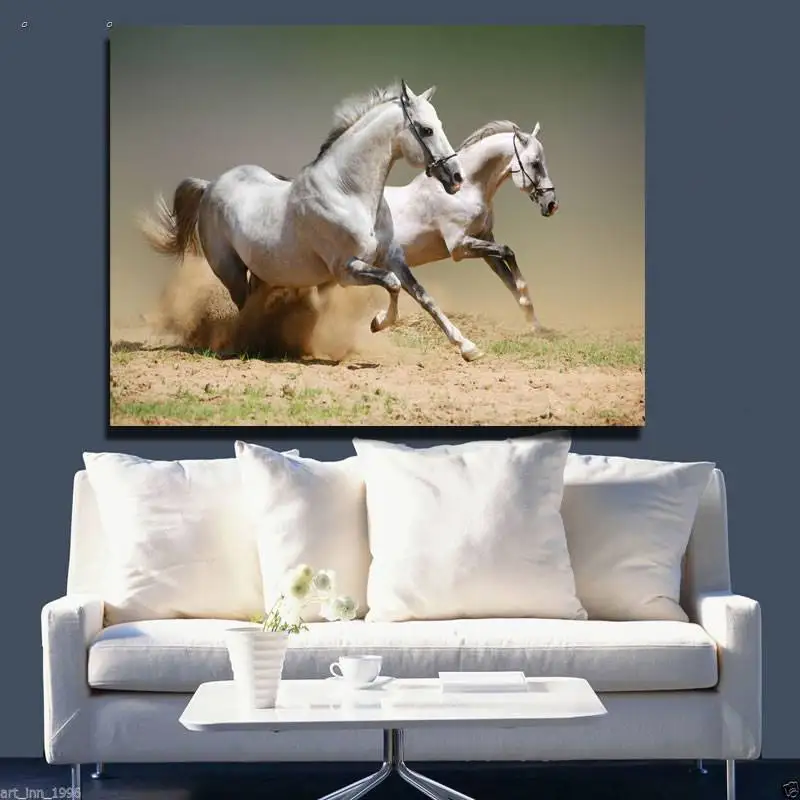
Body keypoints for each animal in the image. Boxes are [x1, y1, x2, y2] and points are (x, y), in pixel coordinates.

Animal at [142, 80, 489, 362]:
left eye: (439, 124)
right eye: (426, 129)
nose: (456, 178)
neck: (348, 192)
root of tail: (210, 185)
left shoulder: (392, 257)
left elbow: (422, 295)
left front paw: (468, 347)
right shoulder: (345, 270)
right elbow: (391, 284)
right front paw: (378, 323)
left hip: (263, 272)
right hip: (230, 270)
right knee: (244, 308)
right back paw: (252, 345)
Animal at [256, 120, 558, 332]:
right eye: (535, 163)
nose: (551, 203)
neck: (466, 189)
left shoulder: (483, 239)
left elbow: (507, 274)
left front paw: (536, 324)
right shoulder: (460, 247)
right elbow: (508, 252)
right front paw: (526, 299)